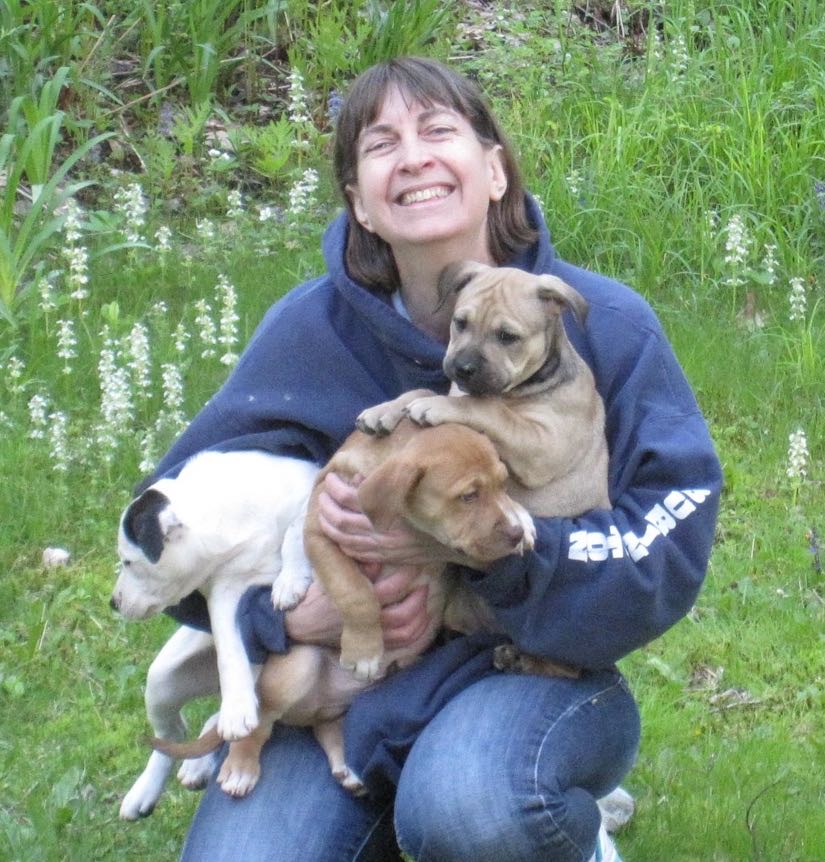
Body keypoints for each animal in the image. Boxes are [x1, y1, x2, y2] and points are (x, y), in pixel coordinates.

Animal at [109, 452, 316, 824]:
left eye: (129, 562)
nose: (113, 603)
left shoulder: (315, 486)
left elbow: (296, 529)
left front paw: (289, 580)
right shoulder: (225, 592)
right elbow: (227, 647)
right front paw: (236, 708)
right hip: (161, 681)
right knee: (172, 737)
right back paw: (149, 789)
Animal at [148, 422, 536, 800]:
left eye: (503, 484)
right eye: (468, 496)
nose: (514, 535)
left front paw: (523, 518)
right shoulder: (320, 534)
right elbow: (354, 591)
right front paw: (364, 650)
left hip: (342, 704)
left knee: (326, 725)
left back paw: (345, 765)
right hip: (297, 668)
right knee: (261, 721)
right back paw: (241, 768)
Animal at [358, 260, 608, 520]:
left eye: (507, 336)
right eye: (460, 322)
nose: (462, 368)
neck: (513, 392)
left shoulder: (545, 445)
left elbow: (489, 408)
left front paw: (438, 406)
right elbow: (424, 391)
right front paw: (384, 410)